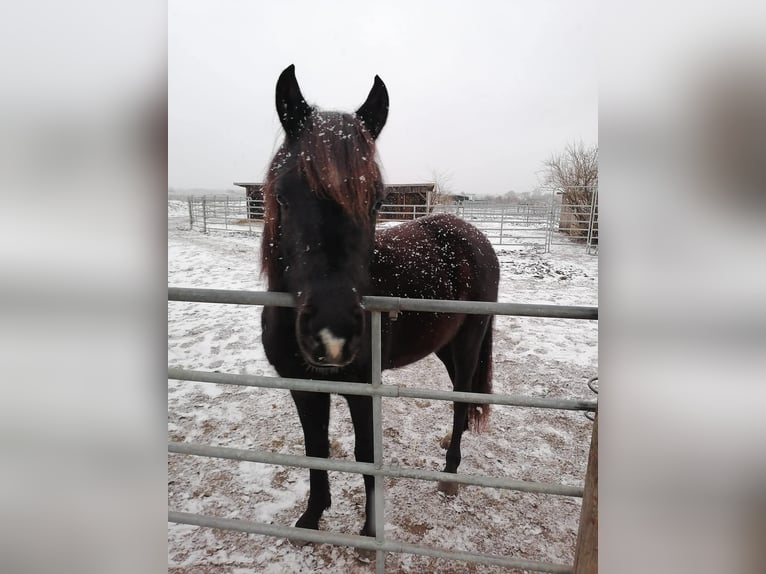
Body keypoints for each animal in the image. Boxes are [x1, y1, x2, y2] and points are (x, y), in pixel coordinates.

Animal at [260, 65, 500, 538]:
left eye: (378, 201)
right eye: (282, 194)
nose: (332, 337)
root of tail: (475, 237)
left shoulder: (362, 389)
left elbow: (367, 456)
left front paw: (370, 534)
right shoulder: (303, 385)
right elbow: (315, 447)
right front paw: (312, 517)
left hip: (468, 345)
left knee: (462, 399)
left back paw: (449, 475)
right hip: (443, 346)